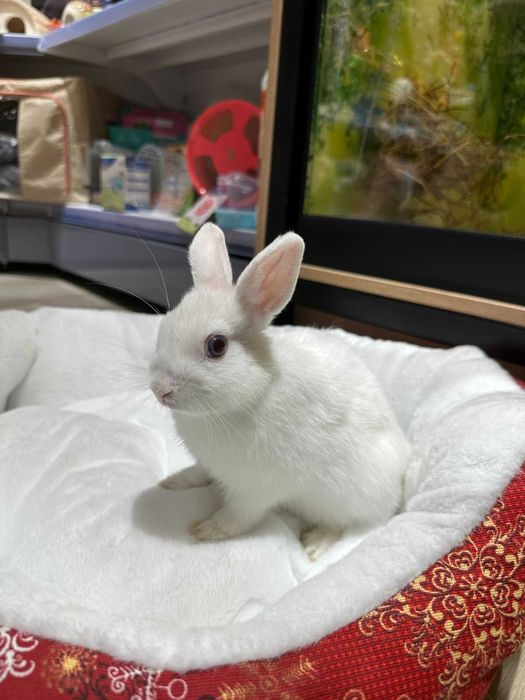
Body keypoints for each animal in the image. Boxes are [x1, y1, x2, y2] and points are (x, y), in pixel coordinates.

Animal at [149, 223, 411, 560]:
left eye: (217, 346)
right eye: (165, 324)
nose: (160, 389)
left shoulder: (255, 488)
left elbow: (237, 516)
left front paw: (206, 530)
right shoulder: (210, 465)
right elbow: (199, 472)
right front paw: (173, 482)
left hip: (340, 499)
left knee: (339, 525)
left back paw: (314, 546)